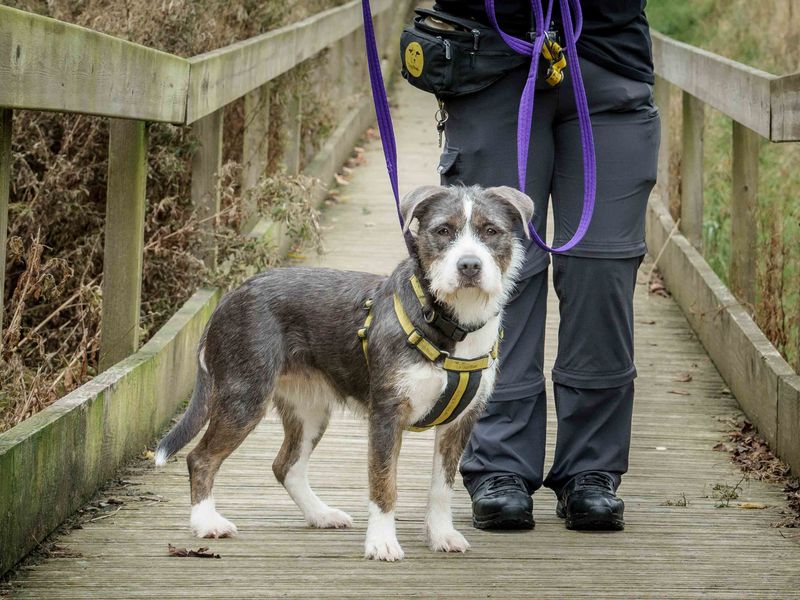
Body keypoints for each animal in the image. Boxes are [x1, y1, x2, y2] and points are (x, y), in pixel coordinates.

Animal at [154, 184, 536, 564]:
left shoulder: (459, 423)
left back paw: (320, 514)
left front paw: (442, 535)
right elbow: (383, 484)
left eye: (491, 231)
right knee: (201, 458)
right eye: (443, 230)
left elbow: (442, 487)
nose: (469, 265)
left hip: (309, 409)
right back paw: (206, 523)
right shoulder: (386, 415)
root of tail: (227, 298)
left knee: (286, 466)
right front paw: (381, 543)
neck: (446, 319)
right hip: (244, 397)